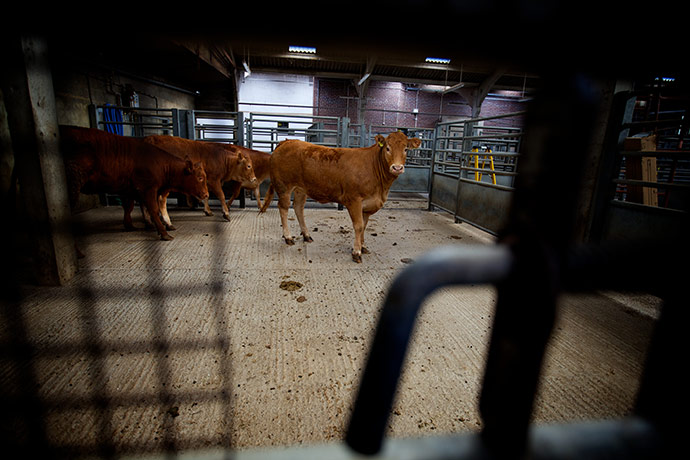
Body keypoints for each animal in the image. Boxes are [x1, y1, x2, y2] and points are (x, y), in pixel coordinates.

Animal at [60, 125, 209, 241]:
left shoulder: (130, 189)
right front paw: (164, 234)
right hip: (73, 186)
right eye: (200, 177)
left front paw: (129, 226)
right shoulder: (148, 188)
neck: (160, 163)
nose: (206, 194)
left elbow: (129, 206)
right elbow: (153, 208)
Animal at [259, 132, 421, 263]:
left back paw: (306, 235)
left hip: (301, 188)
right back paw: (288, 237)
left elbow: (364, 226)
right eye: (388, 148)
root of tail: (286, 142)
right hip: (284, 187)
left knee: (298, 208)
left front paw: (363, 246)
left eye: (406, 149)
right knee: (283, 208)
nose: (397, 168)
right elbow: (358, 226)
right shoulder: (354, 200)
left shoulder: (368, 204)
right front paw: (356, 252)